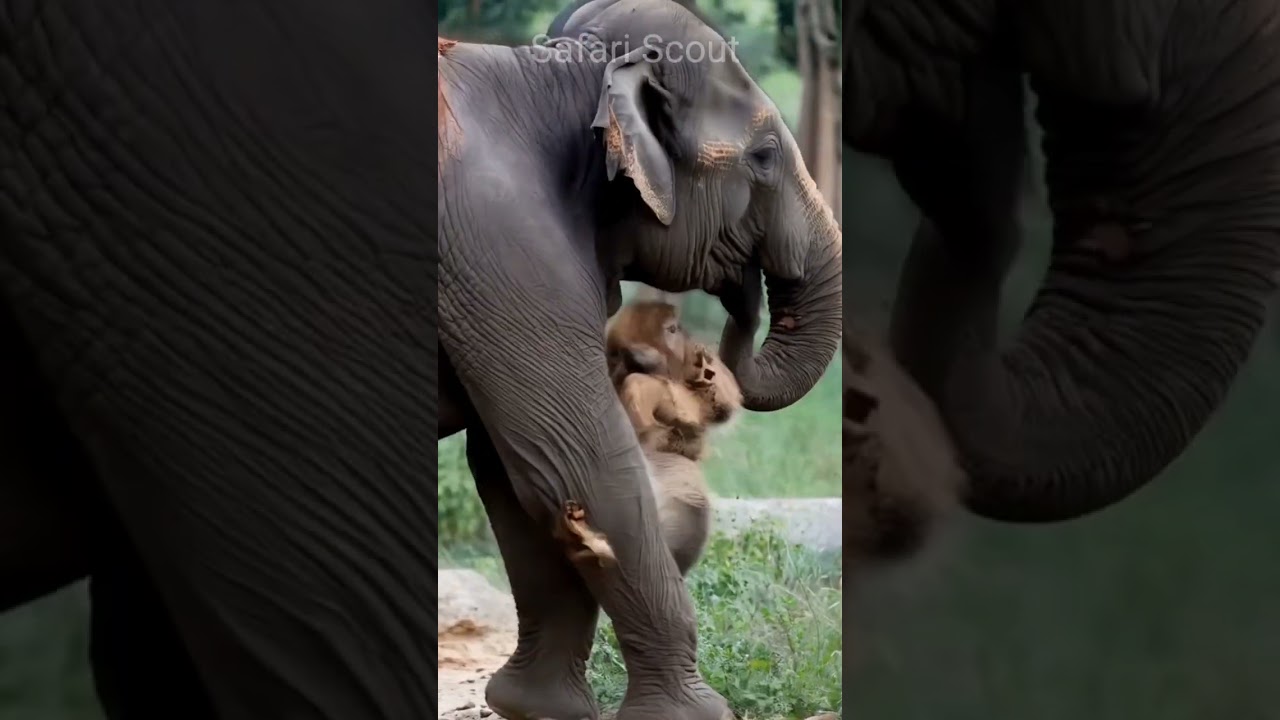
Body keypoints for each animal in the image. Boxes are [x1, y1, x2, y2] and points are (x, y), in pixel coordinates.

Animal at [438, 0, 842, 717]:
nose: (743, 289)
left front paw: (540, 709)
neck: (553, 72)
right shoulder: (501, 248)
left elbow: (511, 469)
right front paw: (698, 715)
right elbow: (578, 455)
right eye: (764, 157)